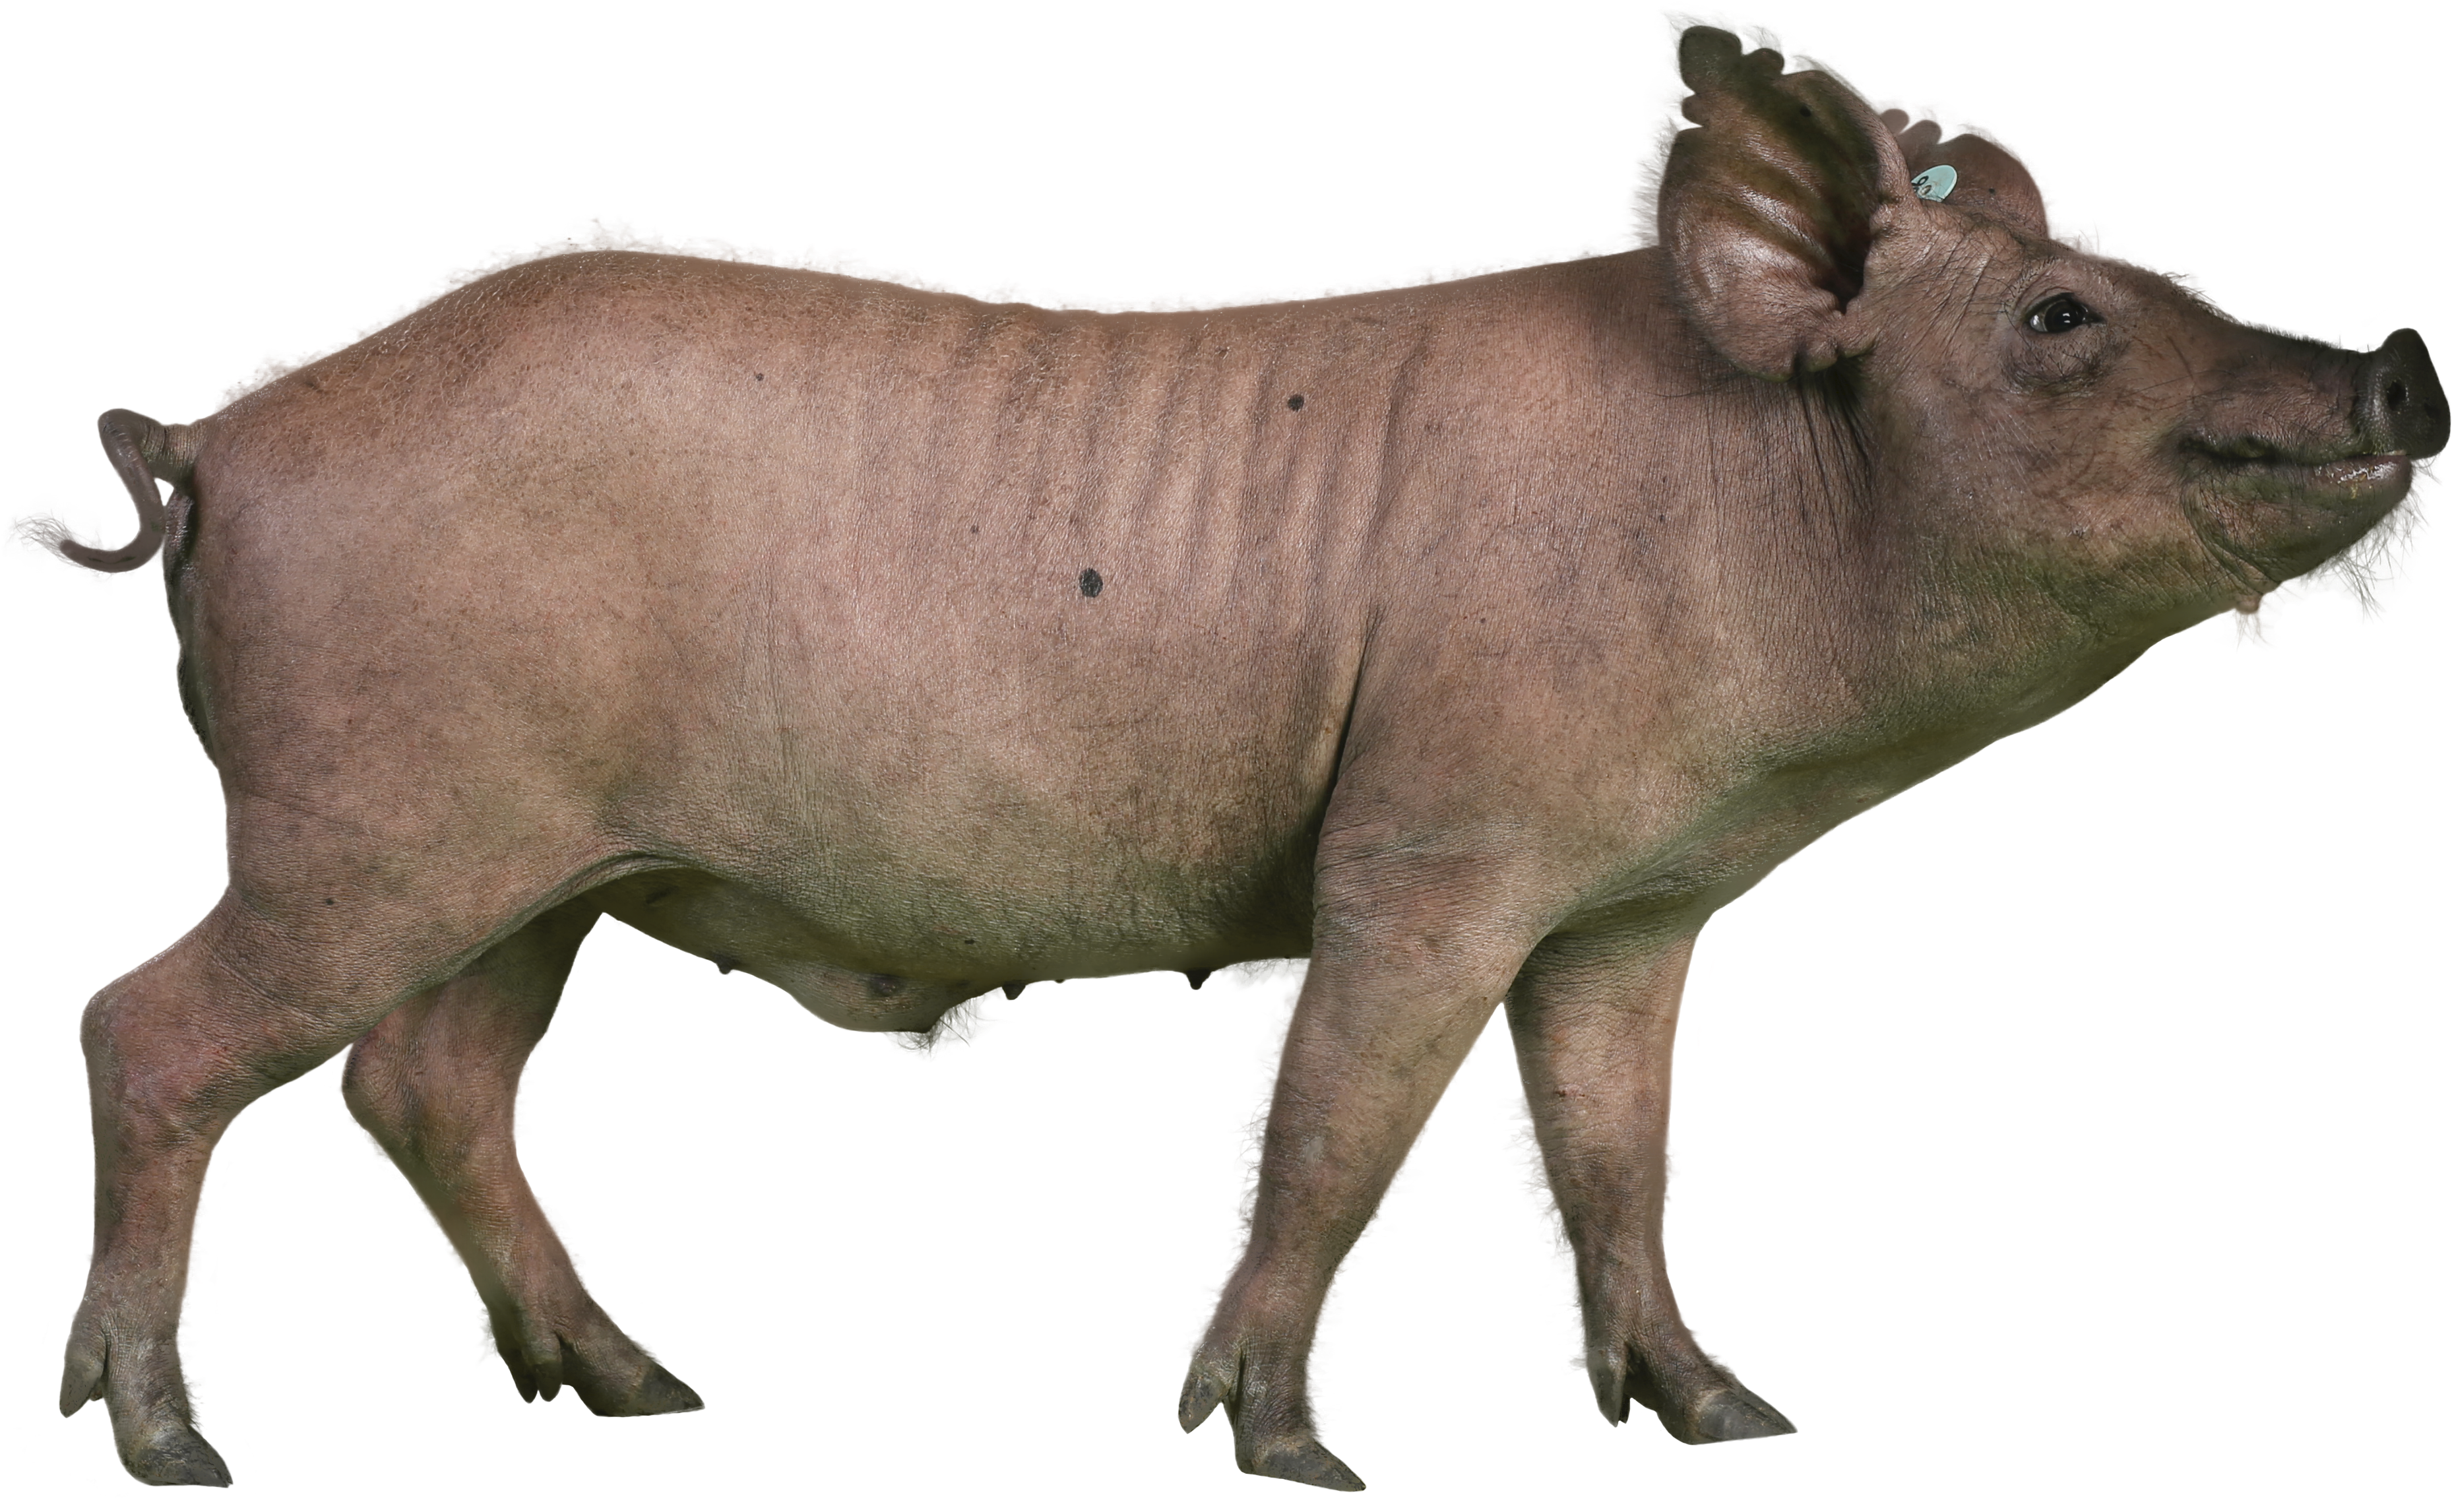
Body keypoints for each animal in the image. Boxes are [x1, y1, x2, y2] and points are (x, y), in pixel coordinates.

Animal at [14, 8, 2439, 1495]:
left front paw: (1731, 1419)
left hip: (545, 874)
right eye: (2056, 317)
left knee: (424, 1082)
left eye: (2126, 266)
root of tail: (216, 438)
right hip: (368, 826)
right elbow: (1339, 1126)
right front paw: (1292, 1453)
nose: (2399, 365)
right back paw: (169, 1445)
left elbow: (1607, 1156)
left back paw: (643, 1389)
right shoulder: (1430, 846)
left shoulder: (1634, 898)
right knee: (149, 1027)